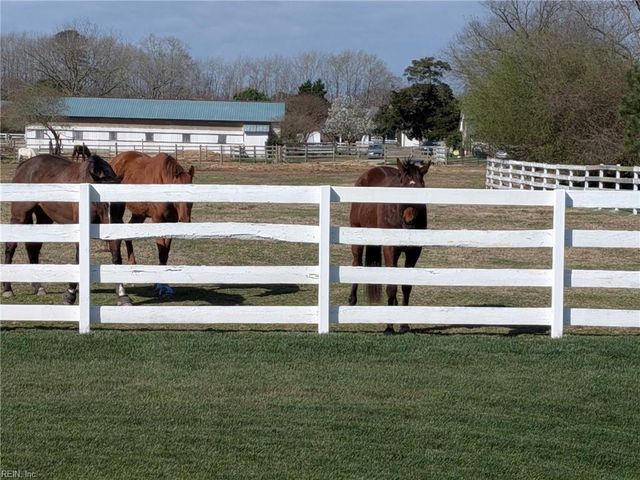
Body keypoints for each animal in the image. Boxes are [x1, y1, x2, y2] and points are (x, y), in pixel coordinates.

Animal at [3, 154, 132, 306]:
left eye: (121, 202)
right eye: (103, 203)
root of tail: (24, 165)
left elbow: (116, 257)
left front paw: (122, 295)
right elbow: (78, 259)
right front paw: (70, 294)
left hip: (44, 217)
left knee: (33, 246)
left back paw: (38, 286)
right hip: (19, 216)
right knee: (11, 246)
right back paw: (7, 289)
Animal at [110, 151, 195, 298]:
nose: (185, 220)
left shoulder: (171, 222)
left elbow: (165, 253)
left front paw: (164, 285)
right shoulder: (157, 220)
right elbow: (161, 251)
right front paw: (161, 285)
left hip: (139, 214)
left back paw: (133, 268)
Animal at [348, 158, 432, 335]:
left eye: (421, 188)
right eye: (401, 187)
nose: (409, 221)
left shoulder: (414, 252)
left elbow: (406, 287)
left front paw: (404, 325)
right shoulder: (390, 248)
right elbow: (391, 286)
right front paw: (389, 327)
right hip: (357, 236)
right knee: (356, 263)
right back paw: (352, 299)